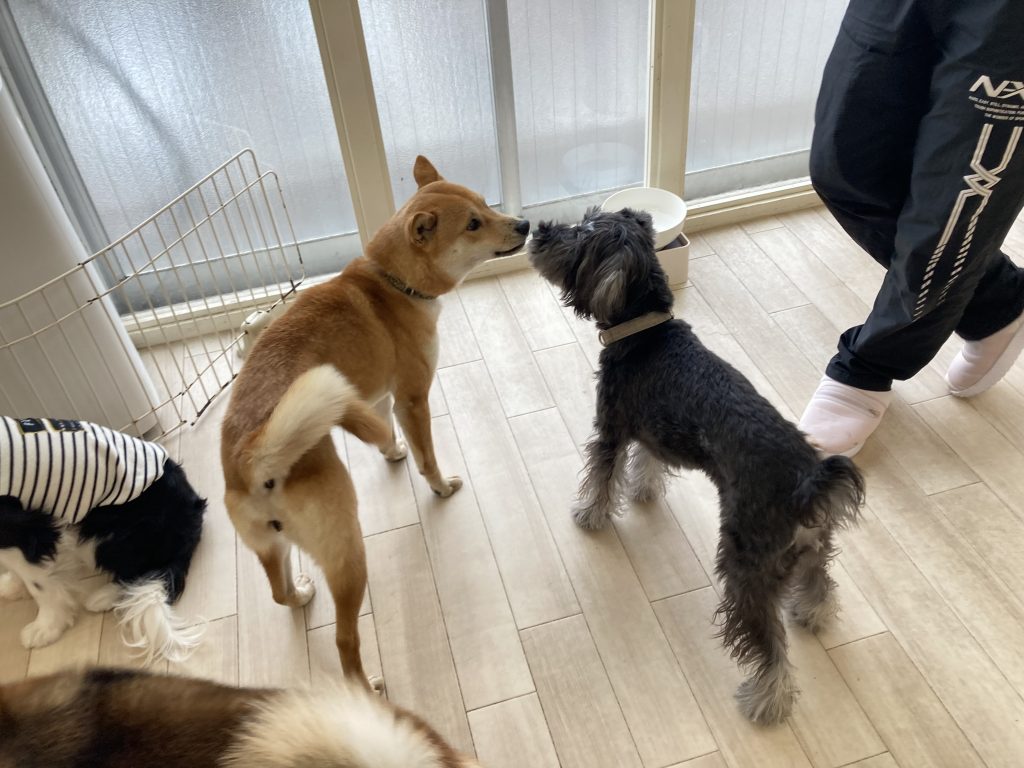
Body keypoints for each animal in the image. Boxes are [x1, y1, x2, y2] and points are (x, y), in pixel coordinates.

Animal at [0, 416, 205, 663]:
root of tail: (195, 515)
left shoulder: (27, 528)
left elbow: (38, 583)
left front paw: (46, 627)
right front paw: (11, 586)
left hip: (103, 535)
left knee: (139, 572)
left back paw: (104, 597)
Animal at [220, 156, 529, 690]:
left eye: (485, 205)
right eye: (473, 224)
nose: (526, 225)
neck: (390, 283)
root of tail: (250, 458)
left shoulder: (377, 396)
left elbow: (384, 431)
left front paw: (392, 451)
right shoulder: (413, 397)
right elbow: (427, 455)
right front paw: (440, 486)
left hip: (269, 546)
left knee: (280, 593)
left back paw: (301, 594)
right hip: (348, 554)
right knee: (346, 641)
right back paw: (365, 688)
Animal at [528, 207, 865, 724]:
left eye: (580, 235)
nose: (539, 230)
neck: (645, 330)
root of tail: (808, 485)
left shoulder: (611, 428)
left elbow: (602, 477)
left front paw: (590, 515)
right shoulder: (652, 431)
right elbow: (646, 465)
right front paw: (643, 492)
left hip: (744, 566)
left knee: (770, 646)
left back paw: (765, 701)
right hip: (811, 548)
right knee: (820, 583)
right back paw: (813, 614)